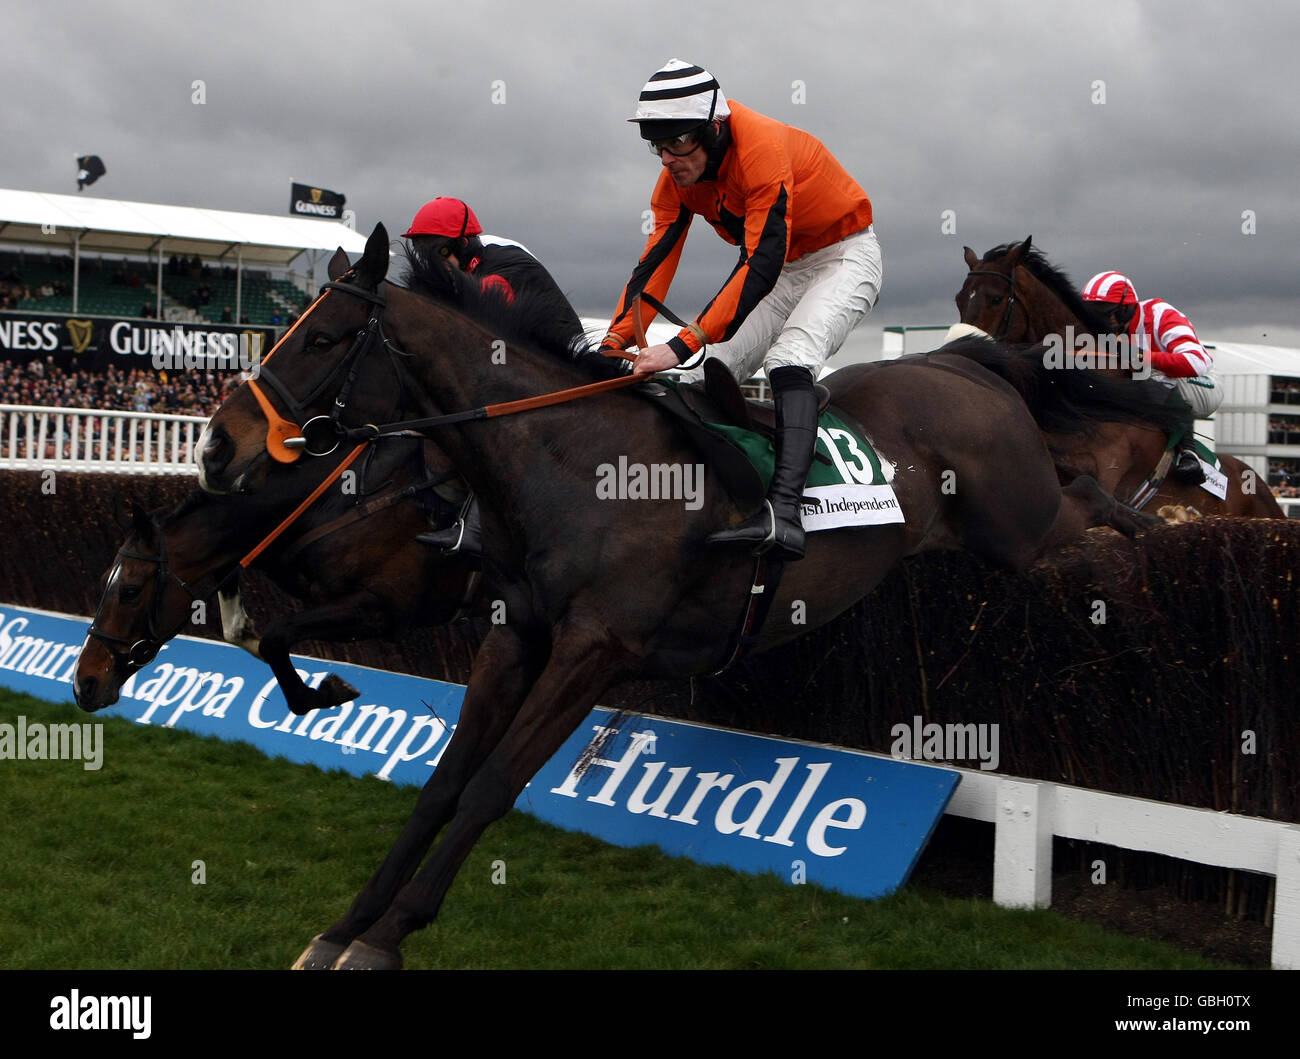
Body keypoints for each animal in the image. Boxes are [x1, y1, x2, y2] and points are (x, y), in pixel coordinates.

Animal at [72, 433, 478, 717]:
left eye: (130, 590)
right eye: (107, 582)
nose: (83, 683)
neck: (332, 503)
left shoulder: (383, 608)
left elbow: (275, 636)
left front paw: (326, 691)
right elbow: (239, 630)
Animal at [195, 223, 1149, 966]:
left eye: (322, 339)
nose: (216, 445)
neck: (570, 460)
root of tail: (967, 361)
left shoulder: (593, 651)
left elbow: (490, 786)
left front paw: (387, 937)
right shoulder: (514, 636)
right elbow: (441, 783)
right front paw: (344, 925)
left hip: (1019, 524)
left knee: (1089, 500)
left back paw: (1141, 534)